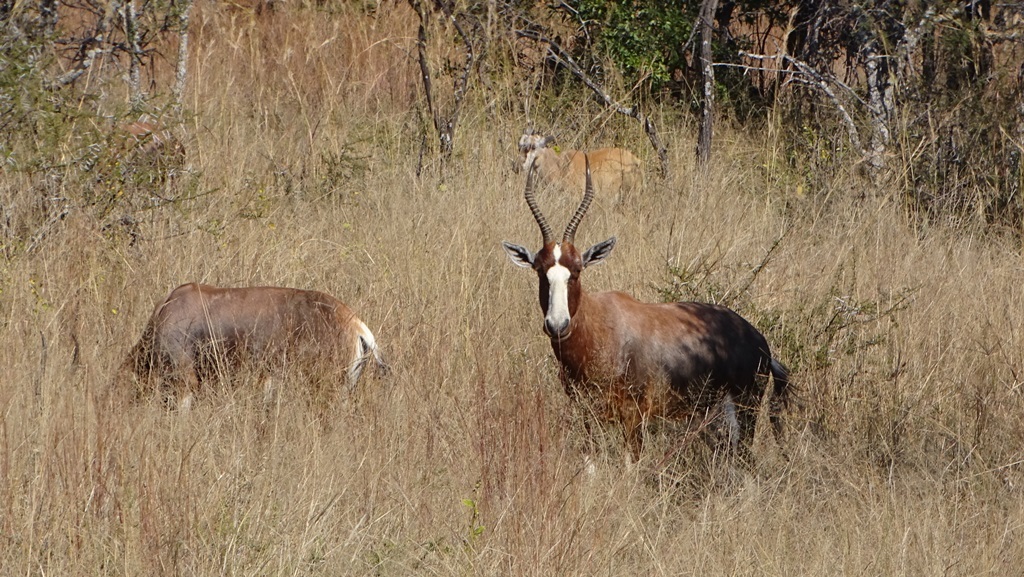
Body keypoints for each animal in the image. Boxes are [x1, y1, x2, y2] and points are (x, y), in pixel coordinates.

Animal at [499, 155, 786, 463]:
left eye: (576, 270)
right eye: (540, 271)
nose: (556, 325)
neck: (602, 324)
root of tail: (759, 342)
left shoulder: (634, 416)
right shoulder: (586, 413)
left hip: (745, 410)